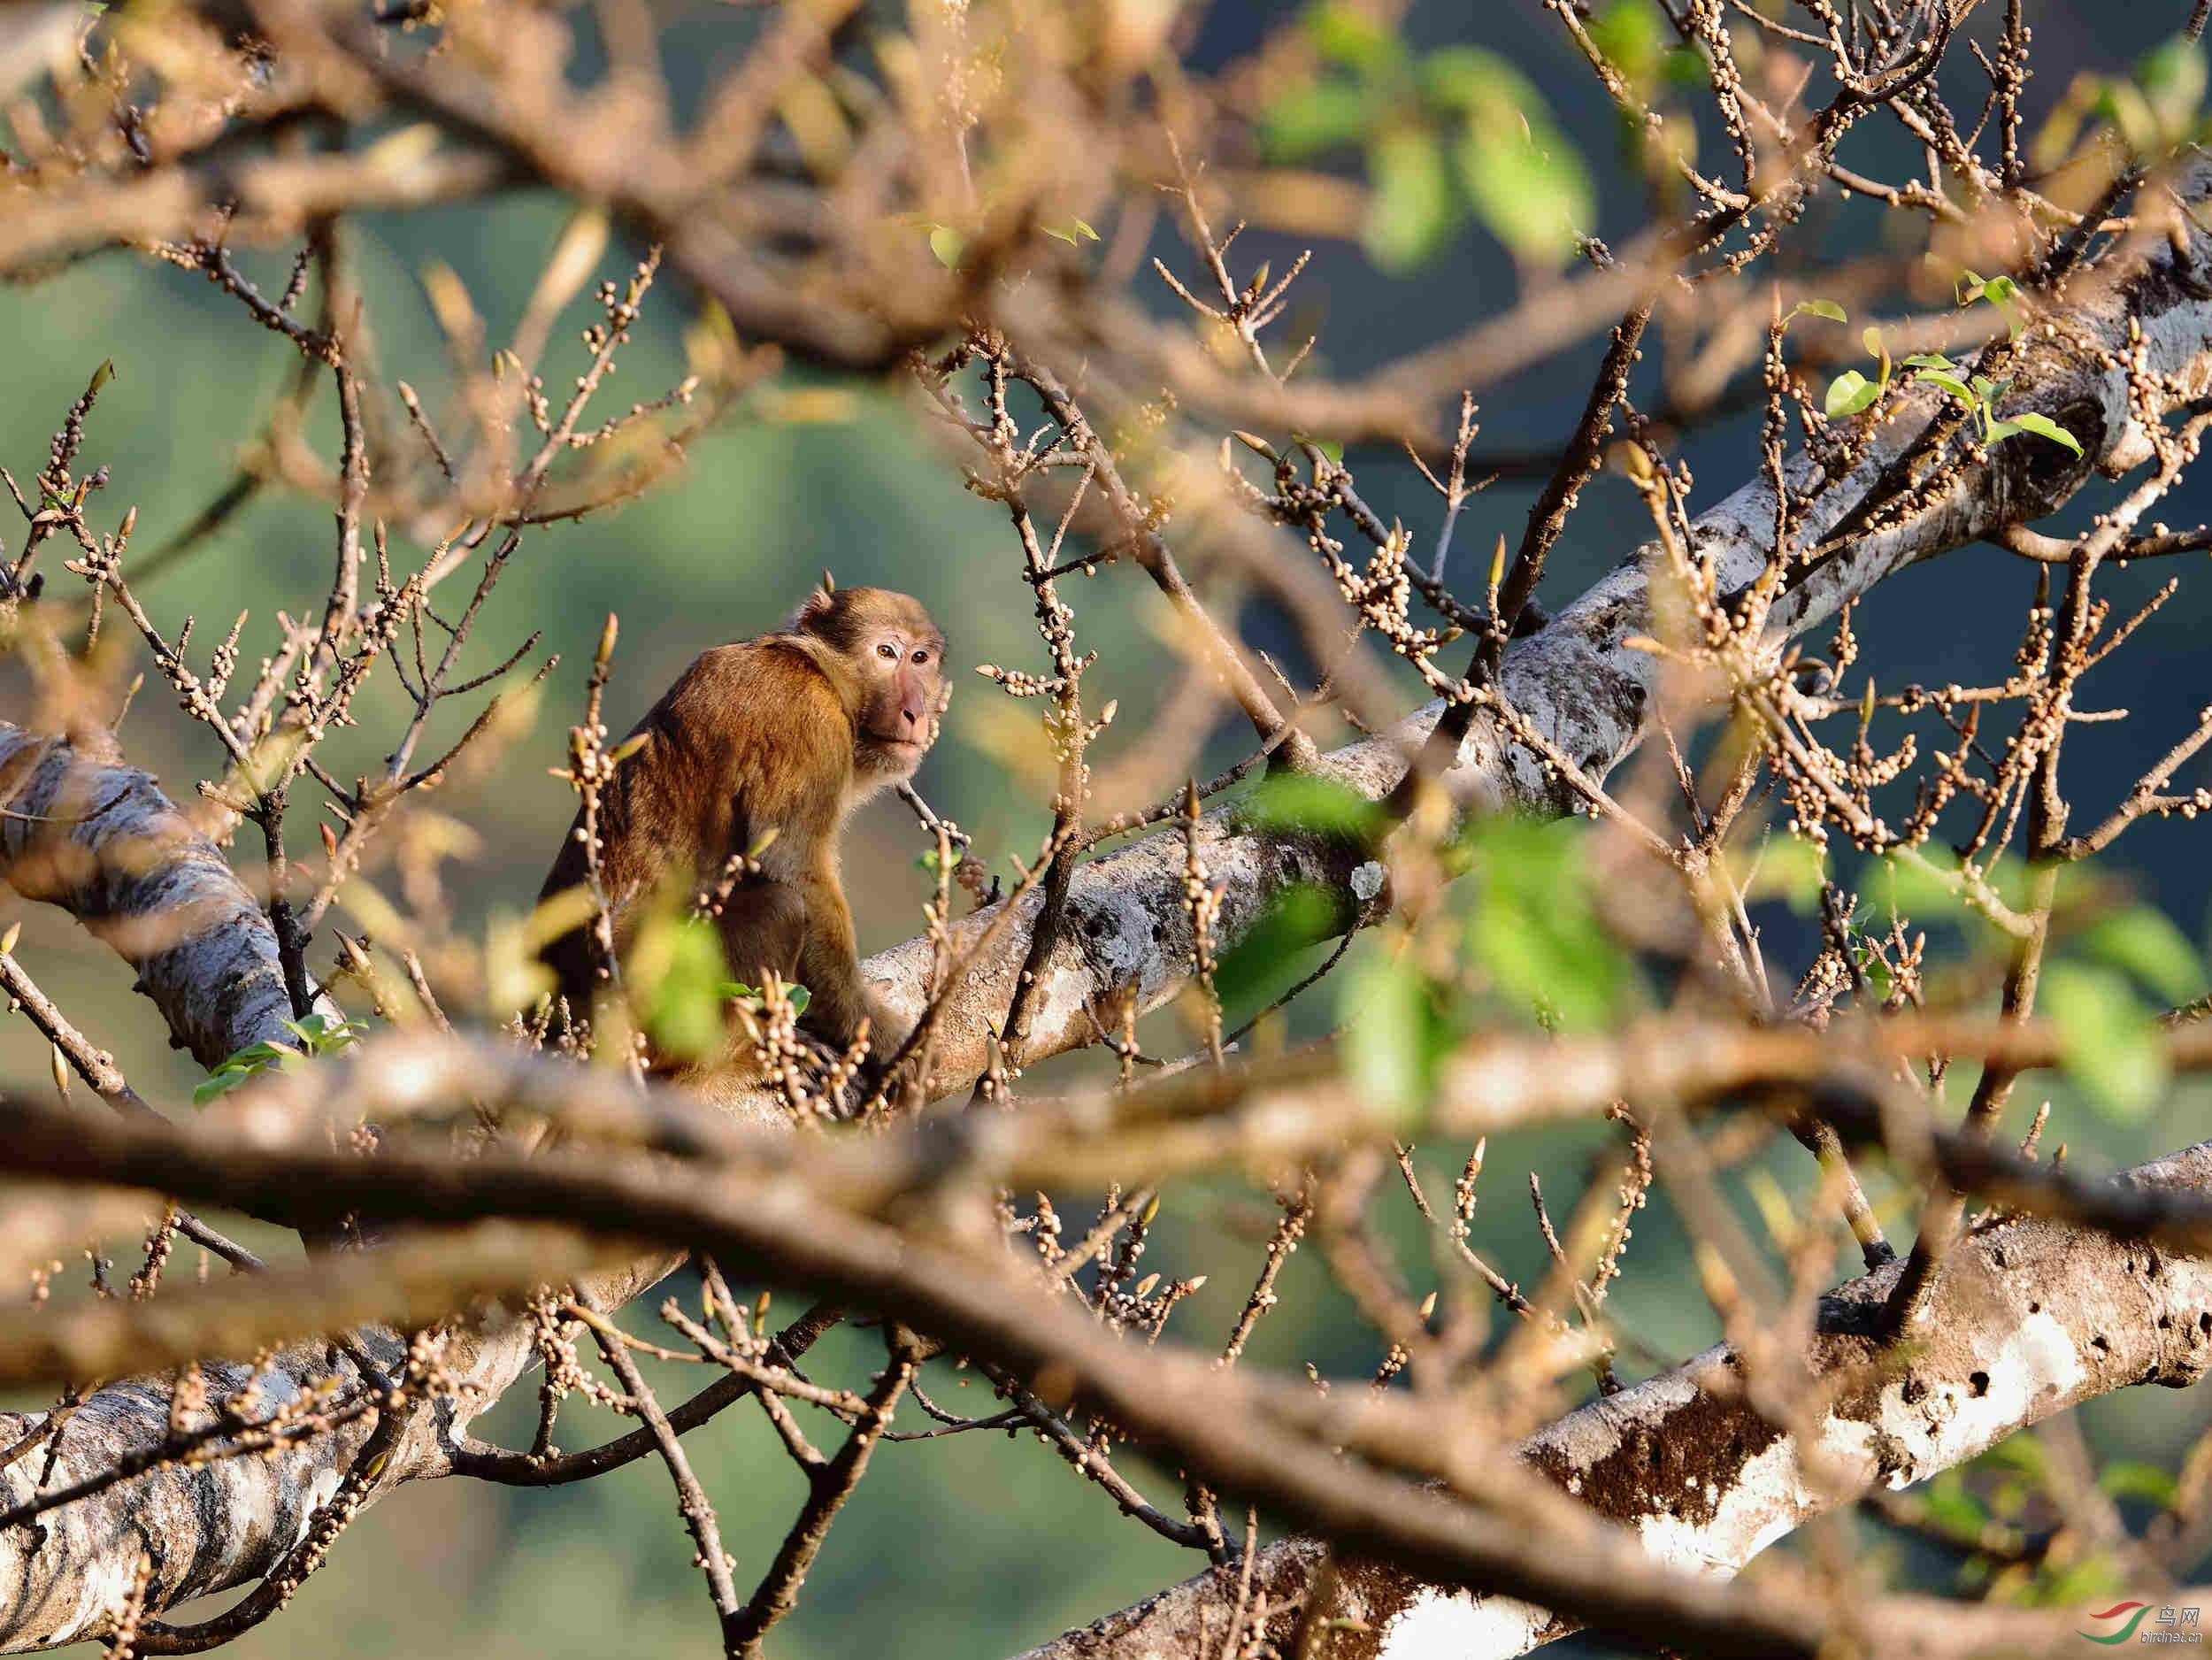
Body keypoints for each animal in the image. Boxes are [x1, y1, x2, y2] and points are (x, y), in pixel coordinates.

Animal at [540, 584, 947, 1093]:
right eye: (886, 652)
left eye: (920, 658)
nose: (915, 711)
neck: (817, 668)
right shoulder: (806, 720)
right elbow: (794, 869)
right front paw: (872, 1034)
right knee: (780, 908)